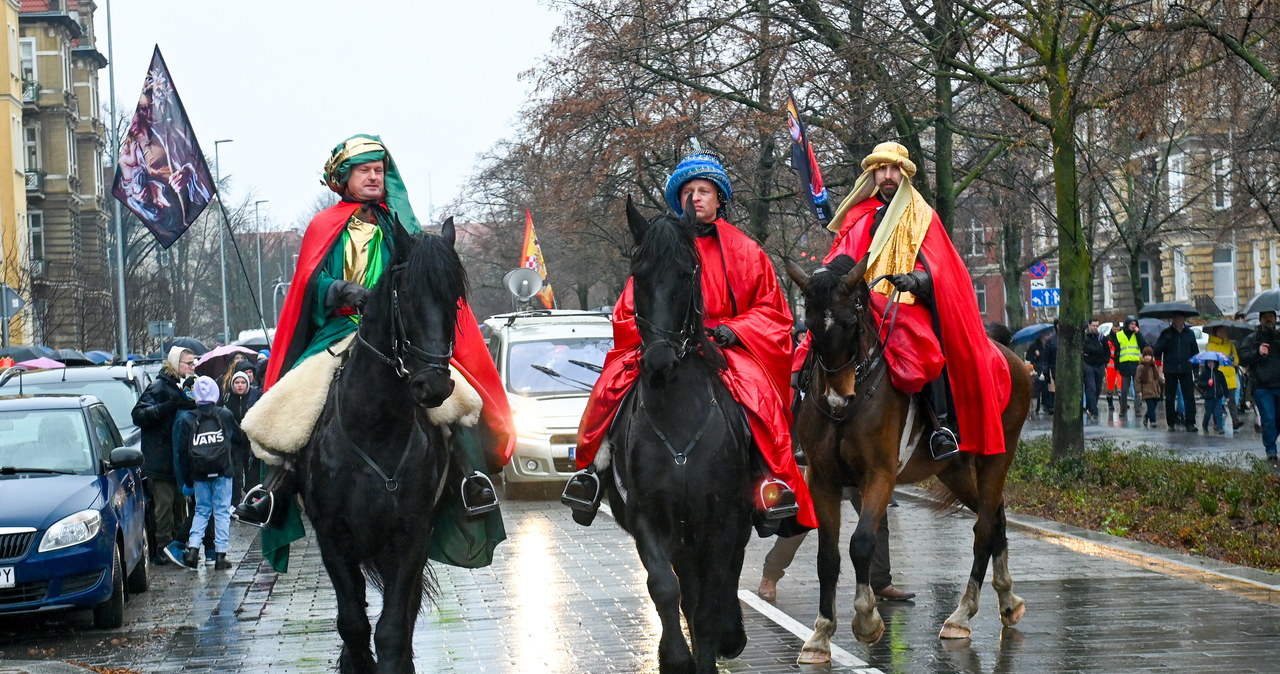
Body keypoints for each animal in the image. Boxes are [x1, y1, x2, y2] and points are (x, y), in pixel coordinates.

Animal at [302, 221, 468, 674]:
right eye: (406, 292)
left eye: (454, 298)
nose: (433, 386)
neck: (376, 427)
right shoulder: (332, 536)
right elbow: (354, 625)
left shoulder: (412, 535)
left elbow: (393, 629)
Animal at [604, 200, 752, 674]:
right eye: (638, 272)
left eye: (688, 272)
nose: (659, 360)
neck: (679, 420)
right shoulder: (649, 518)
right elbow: (665, 588)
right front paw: (674, 657)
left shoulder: (723, 522)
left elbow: (709, 604)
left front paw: (712, 647)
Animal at [783, 255, 1034, 659]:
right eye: (811, 325)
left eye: (854, 318)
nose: (839, 399)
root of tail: (1012, 357)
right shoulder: (822, 479)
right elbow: (827, 556)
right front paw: (820, 635)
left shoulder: (880, 476)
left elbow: (861, 543)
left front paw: (866, 620)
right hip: (954, 471)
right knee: (995, 520)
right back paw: (1007, 601)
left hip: (997, 457)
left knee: (983, 529)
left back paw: (961, 615)